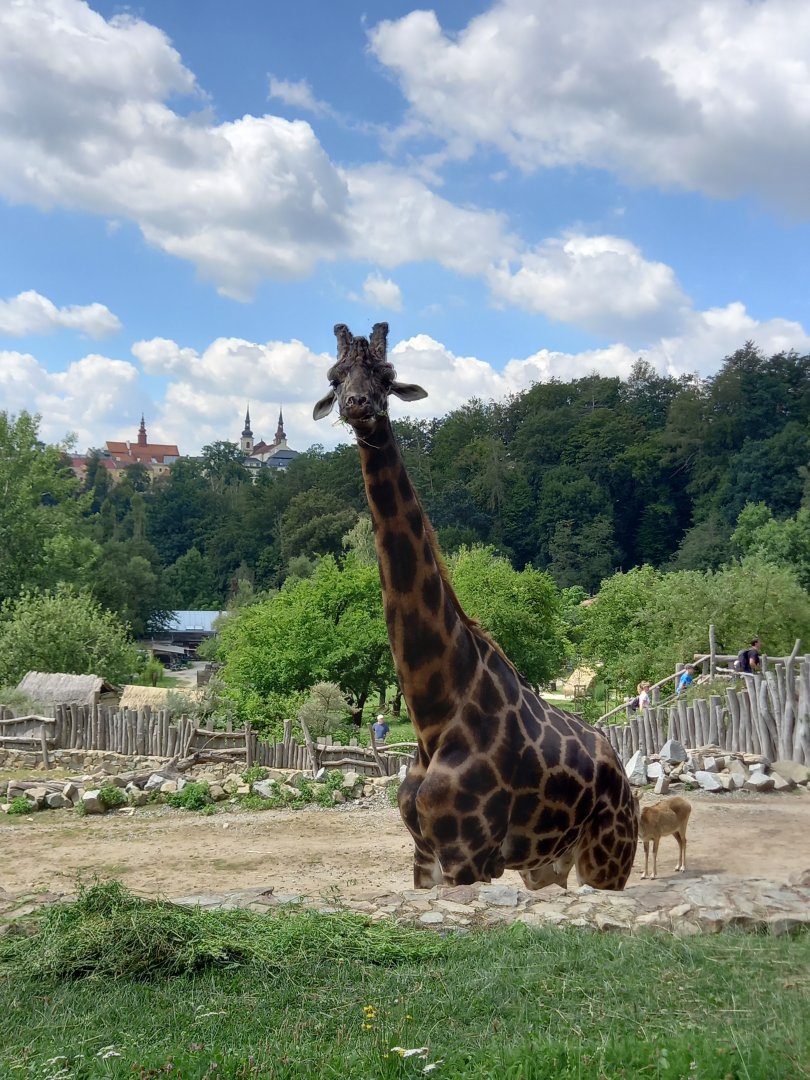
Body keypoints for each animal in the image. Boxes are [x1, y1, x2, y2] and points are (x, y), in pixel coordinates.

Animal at [313, 323, 638, 891]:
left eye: (386, 374)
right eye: (336, 376)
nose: (358, 405)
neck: (432, 717)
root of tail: (620, 766)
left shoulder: (469, 856)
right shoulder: (425, 855)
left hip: (609, 858)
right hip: (548, 865)